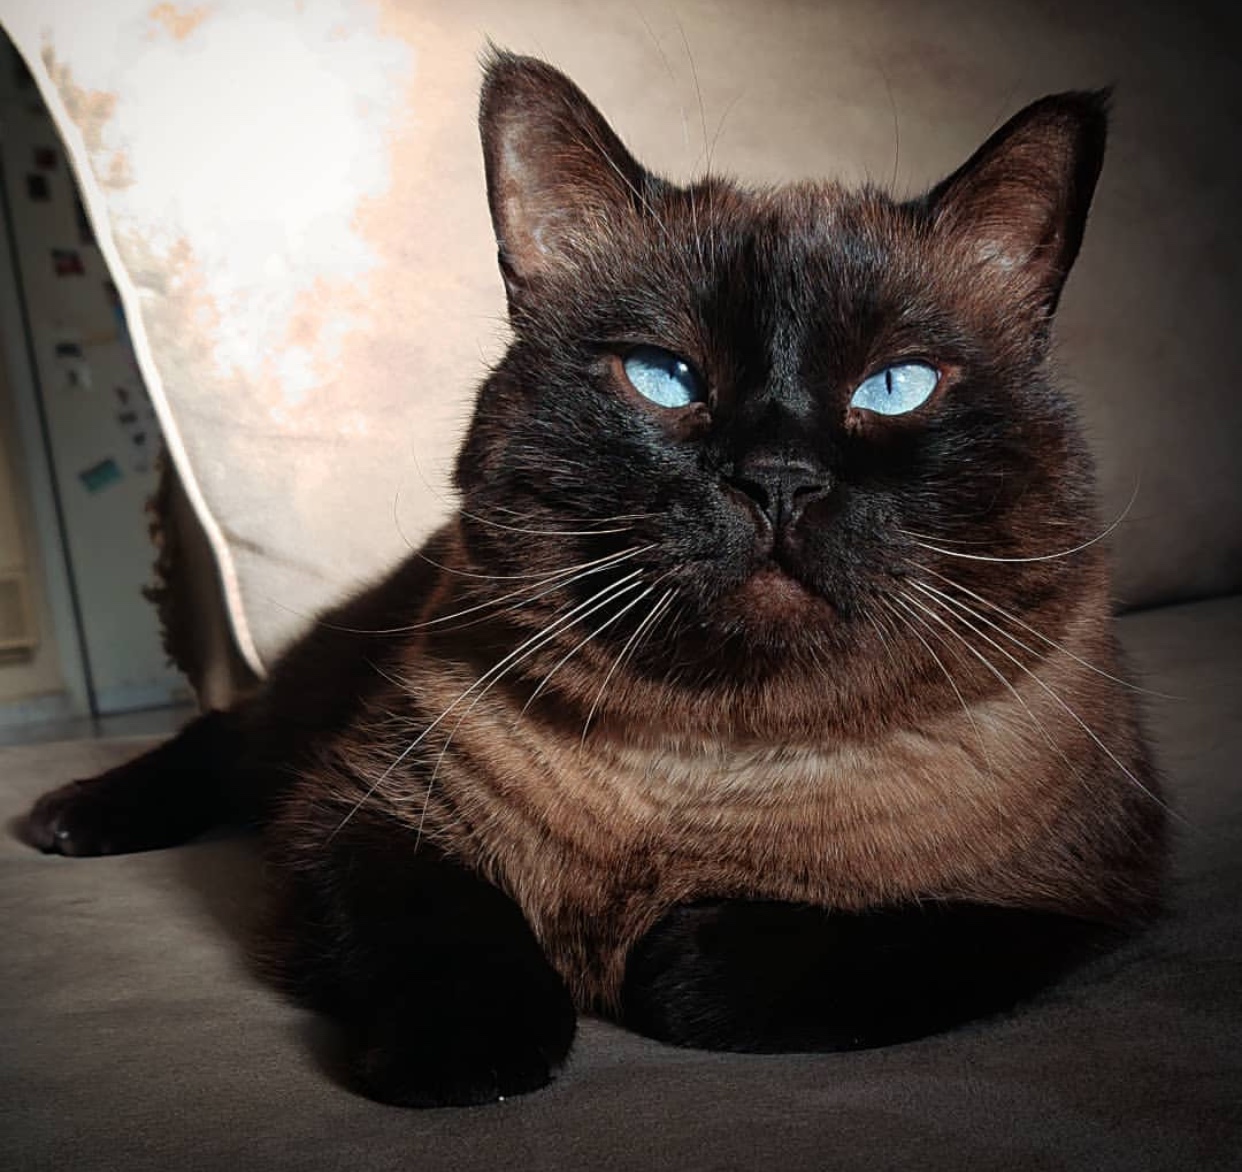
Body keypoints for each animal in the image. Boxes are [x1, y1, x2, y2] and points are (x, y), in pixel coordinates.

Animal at [16, 48, 1162, 1107]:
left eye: (896, 388)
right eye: (665, 378)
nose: (777, 479)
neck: (713, 763)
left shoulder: (1071, 907)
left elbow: (744, 967)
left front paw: (651, 960)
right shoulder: (362, 812)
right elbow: (456, 932)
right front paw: (464, 1063)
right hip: (304, 711)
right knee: (223, 737)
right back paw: (71, 819)